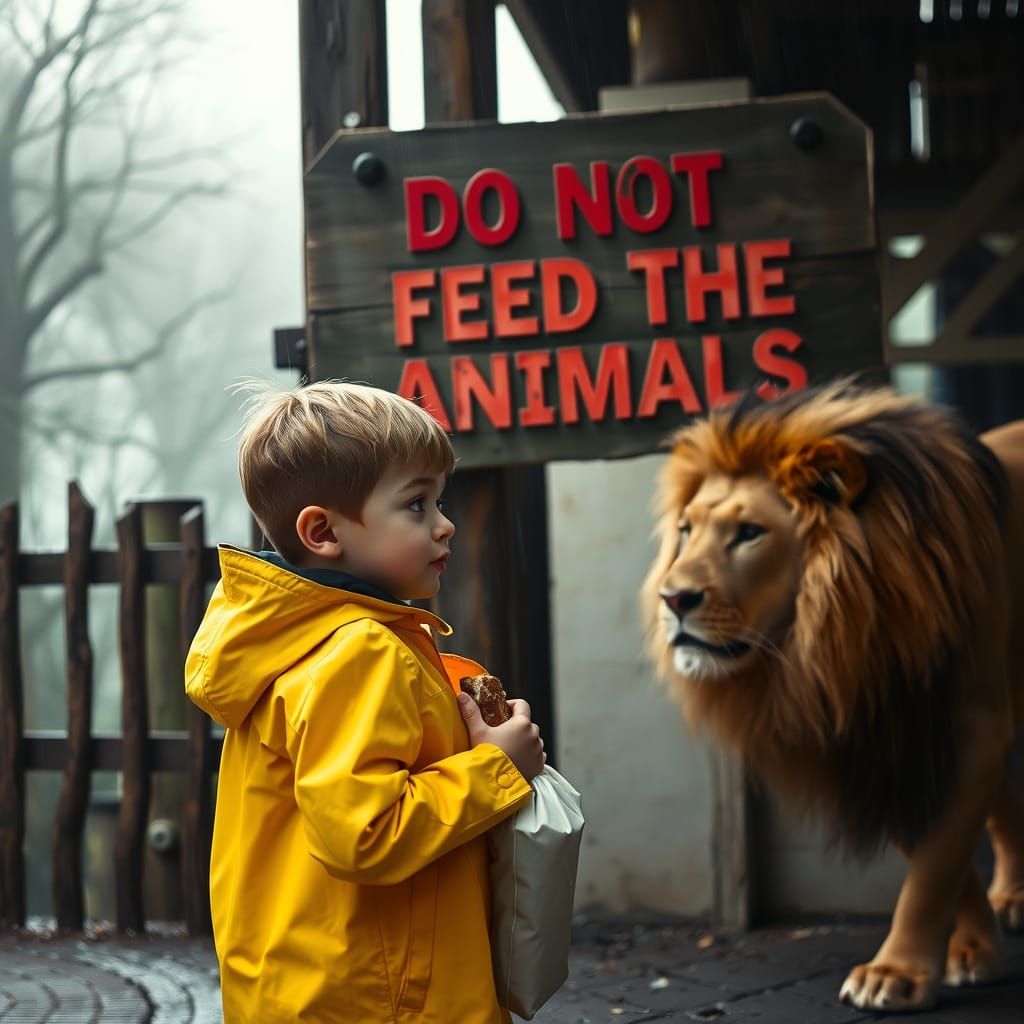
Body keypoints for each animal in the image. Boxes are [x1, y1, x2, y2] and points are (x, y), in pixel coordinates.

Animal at [643, 382, 1024, 1012]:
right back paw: (1013, 896)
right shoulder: (866, 730)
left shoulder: (972, 723)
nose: (672, 599)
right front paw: (973, 951)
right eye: (685, 530)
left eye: (750, 533)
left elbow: (938, 859)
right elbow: (936, 853)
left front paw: (896, 973)